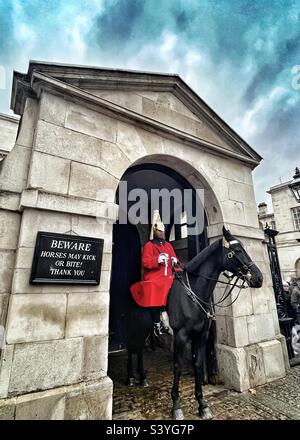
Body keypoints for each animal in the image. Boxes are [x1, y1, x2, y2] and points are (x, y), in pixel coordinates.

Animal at [126, 227, 262, 420]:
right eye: (236, 251)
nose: (259, 278)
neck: (195, 292)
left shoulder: (201, 335)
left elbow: (197, 364)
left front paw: (202, 404)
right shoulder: (181, 336)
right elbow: (177, 366)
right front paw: (176, 406)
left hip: (144, 330)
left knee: (138, 350)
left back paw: (143, 378)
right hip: (134, 327)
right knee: (131, 349)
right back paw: (131, 378)